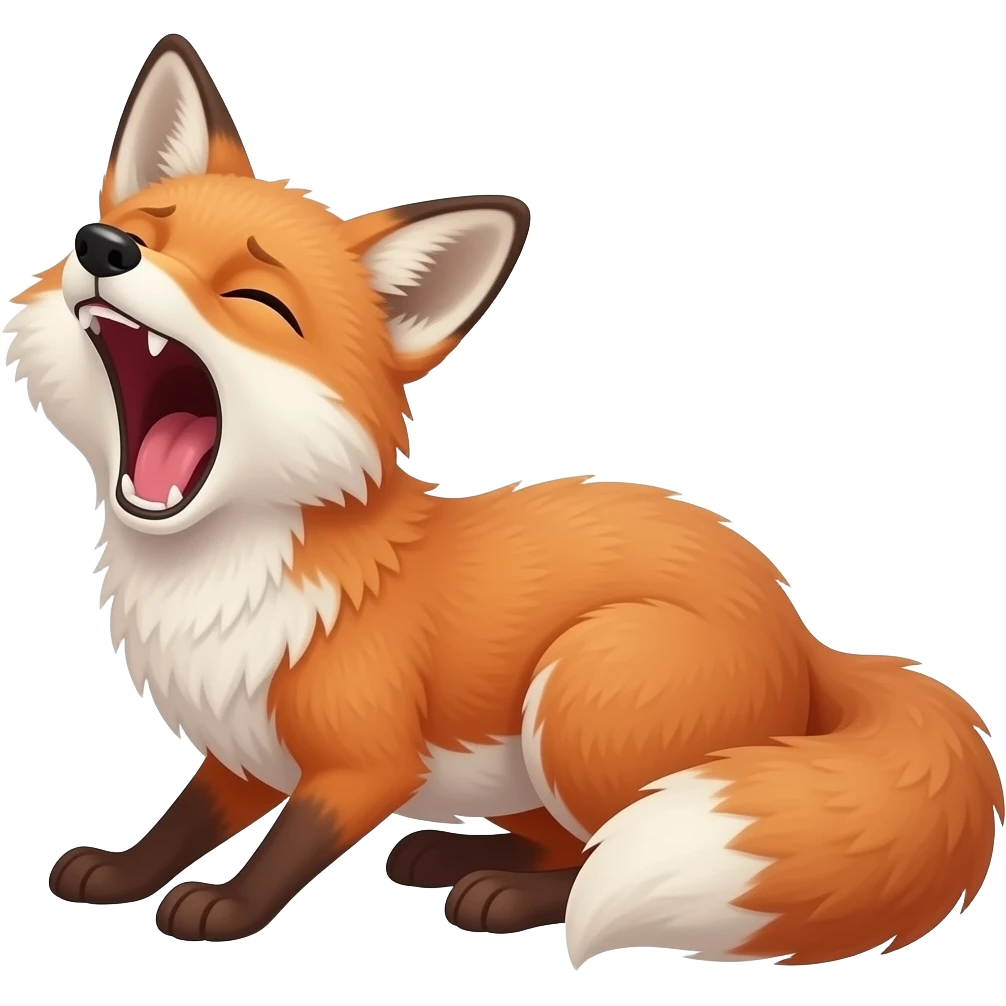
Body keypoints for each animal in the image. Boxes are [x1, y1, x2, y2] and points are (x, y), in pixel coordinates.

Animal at [11, 33, 1002, 965]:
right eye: (148, 230)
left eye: (255, 300)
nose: (105, 247)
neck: (218, 574)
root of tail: (802, 637)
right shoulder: (243, 745)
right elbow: (183, 823)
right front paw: (120, 873)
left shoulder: (364, 762)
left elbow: (292, 844)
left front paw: (225, 909)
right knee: (569, 845)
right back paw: (453, 856)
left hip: (582, 690)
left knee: (598, 858)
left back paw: (503, 894)